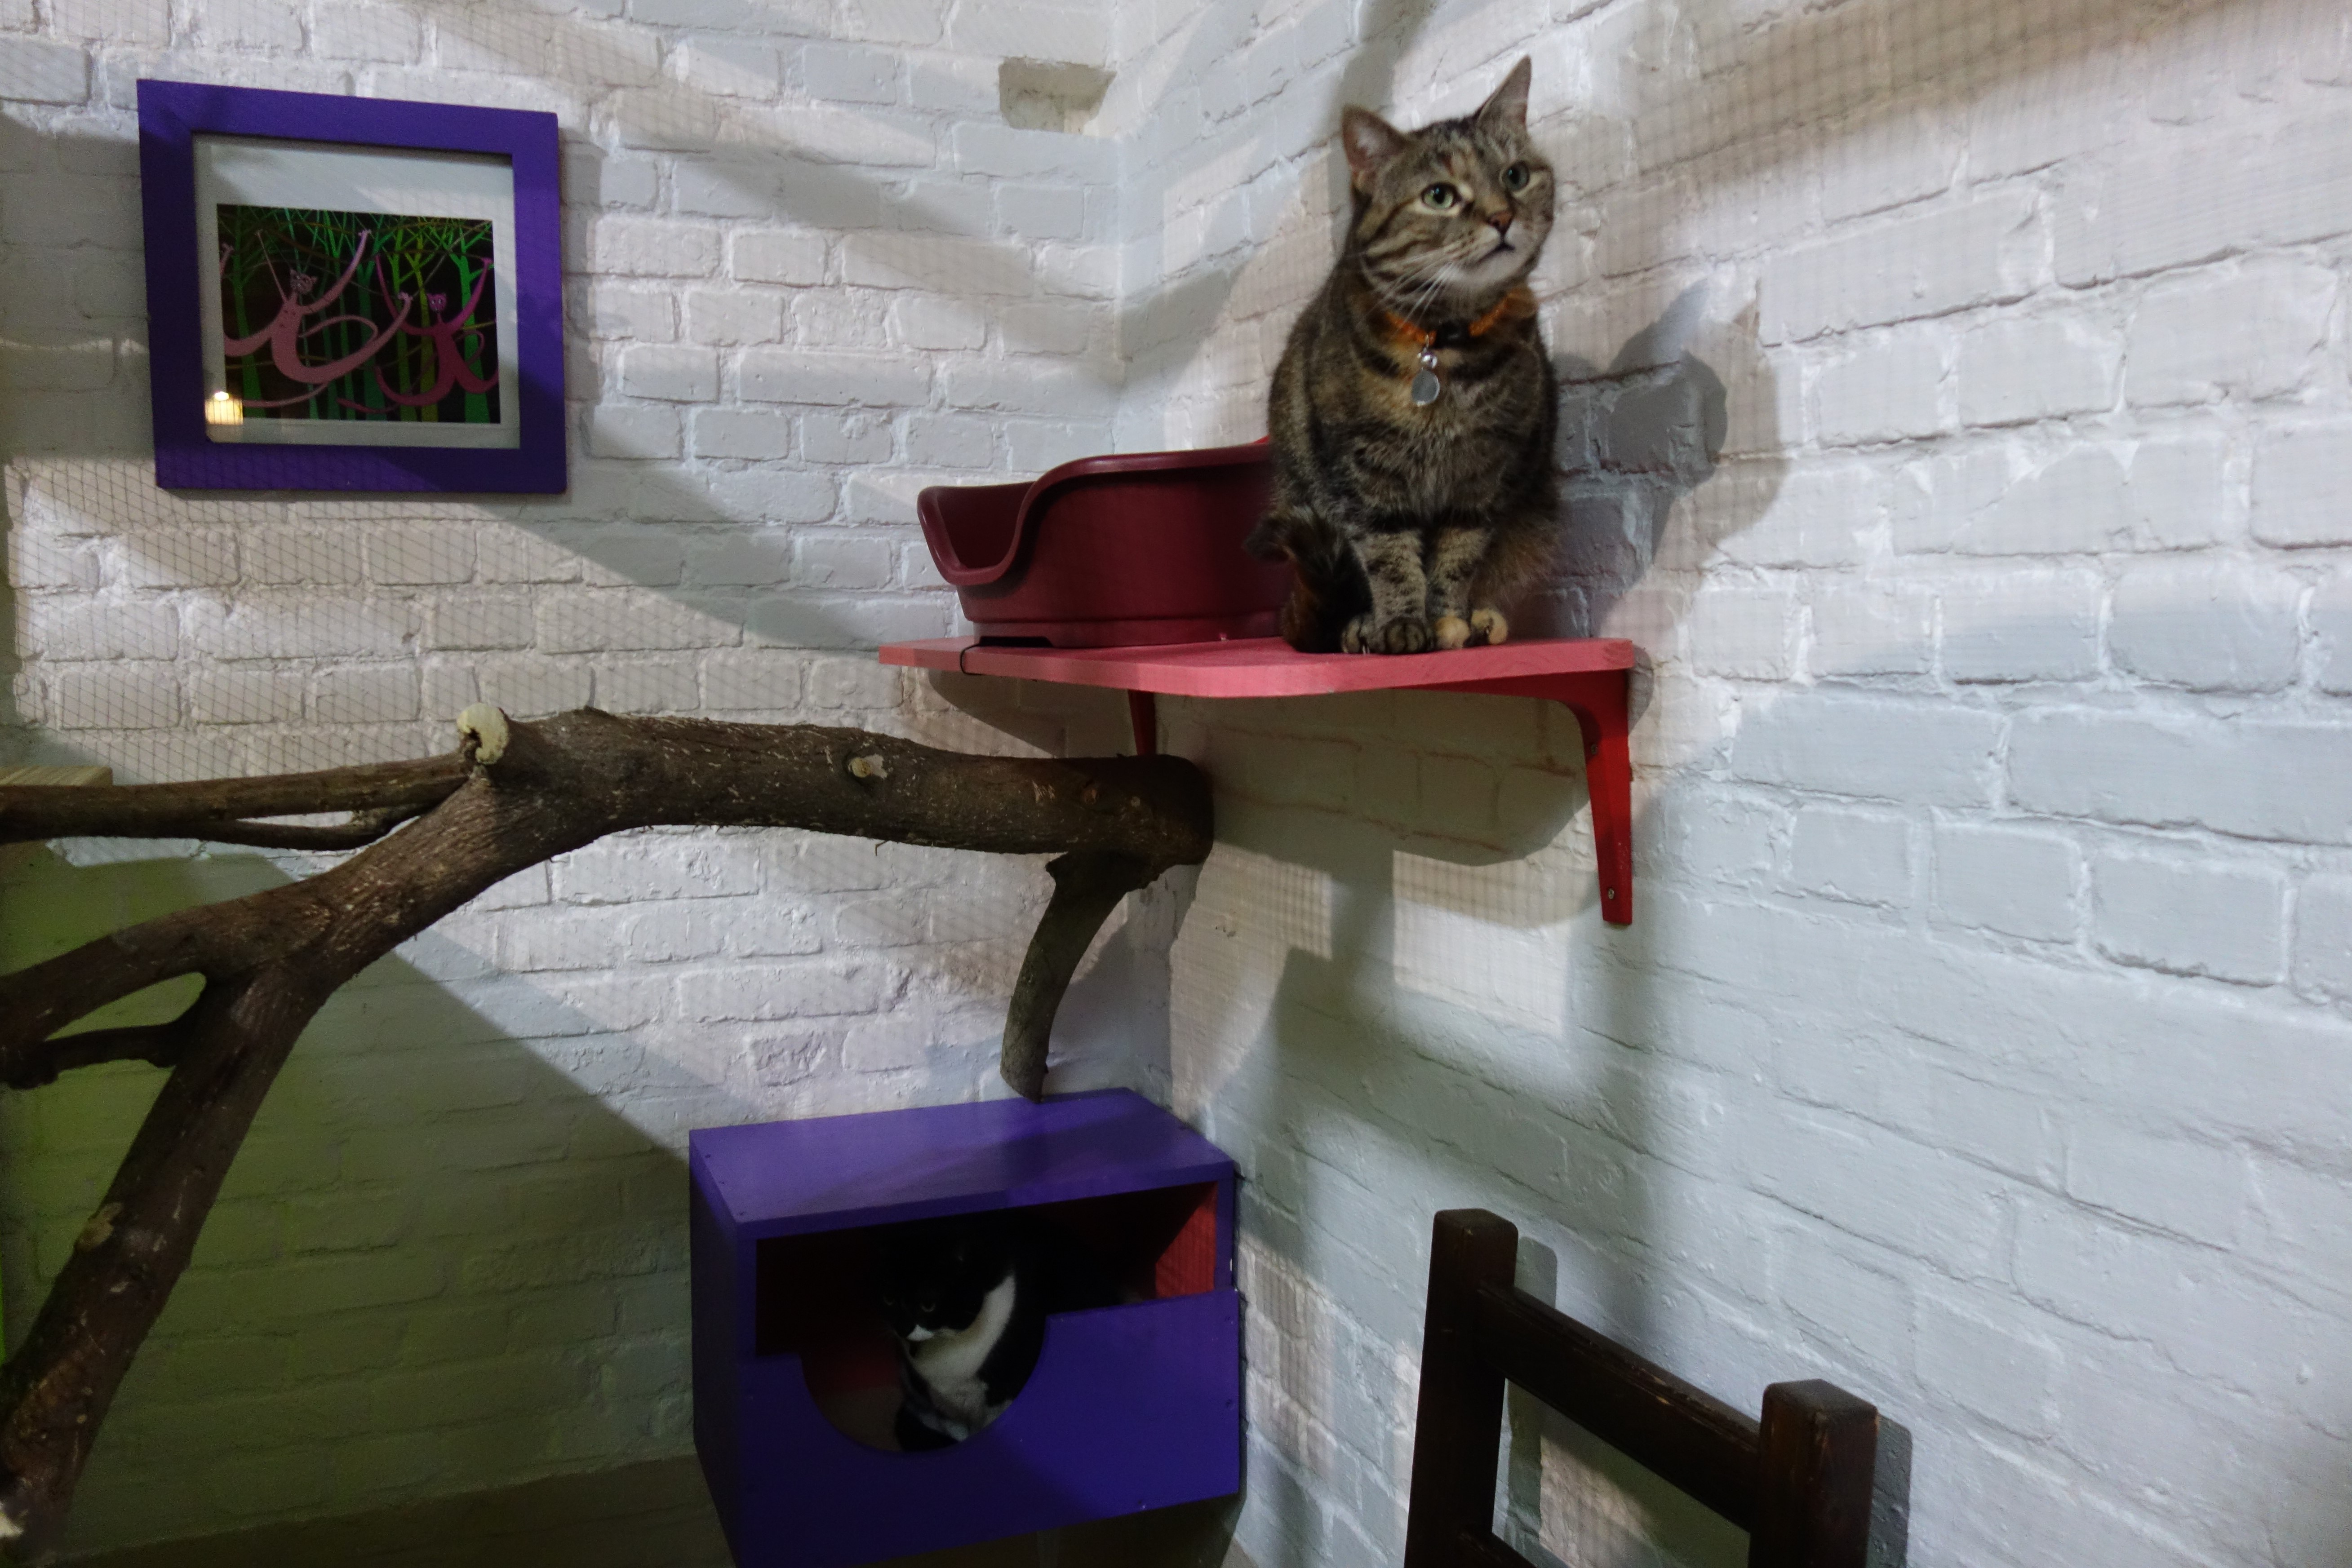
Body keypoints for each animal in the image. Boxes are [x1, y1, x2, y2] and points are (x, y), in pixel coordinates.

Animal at [1246, 57, 1560, 655]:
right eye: (1439, 196)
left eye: (1515, 176)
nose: (1502, 217)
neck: (1445, 349)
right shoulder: (1365, 473)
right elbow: (1389, 556)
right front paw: (1398, 624)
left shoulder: (1482, 476)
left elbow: (1456, 558)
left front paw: (1446, 620)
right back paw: (1358, 628)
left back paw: (1481, 621)